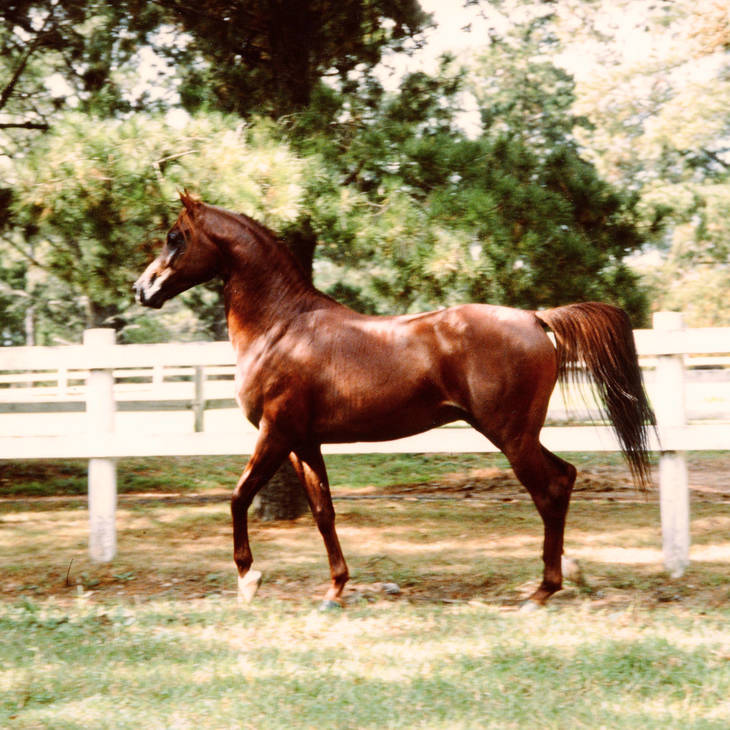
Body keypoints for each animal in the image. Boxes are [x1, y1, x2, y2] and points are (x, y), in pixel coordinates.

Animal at [134, 192, 655, 608]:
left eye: (175, 237)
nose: (142, 289)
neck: (281, 327)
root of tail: (534, 317)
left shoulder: (275, 433)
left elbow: (239, 496)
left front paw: (248, 579)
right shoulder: (304, 442)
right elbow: (323, 512)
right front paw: (335, 589)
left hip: (510, 436)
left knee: (548, 490)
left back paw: (542, 591)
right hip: (517, 433)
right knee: (564, 478)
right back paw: (561, 577)